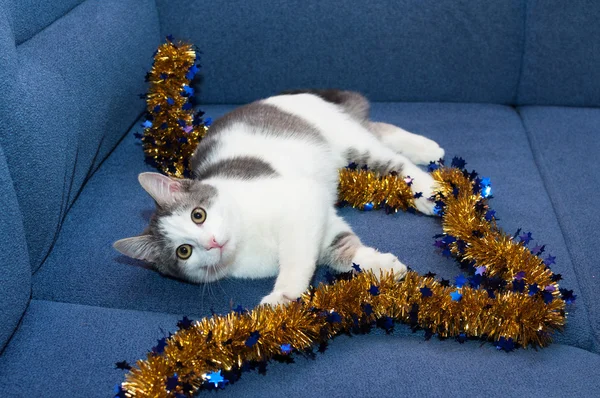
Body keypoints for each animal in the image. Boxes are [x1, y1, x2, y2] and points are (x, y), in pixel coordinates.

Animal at [112, 89, 442, 304]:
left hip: (348, 139)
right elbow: (338, 247)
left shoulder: (303, 200)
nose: (213, 242)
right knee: (376, 129)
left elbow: (298, 255)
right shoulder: (320, 218)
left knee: (391, 156)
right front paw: (380, 265)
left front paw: (284, 294)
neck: (244, 237)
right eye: (184, 251)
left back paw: (428, 179)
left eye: (198, 214)